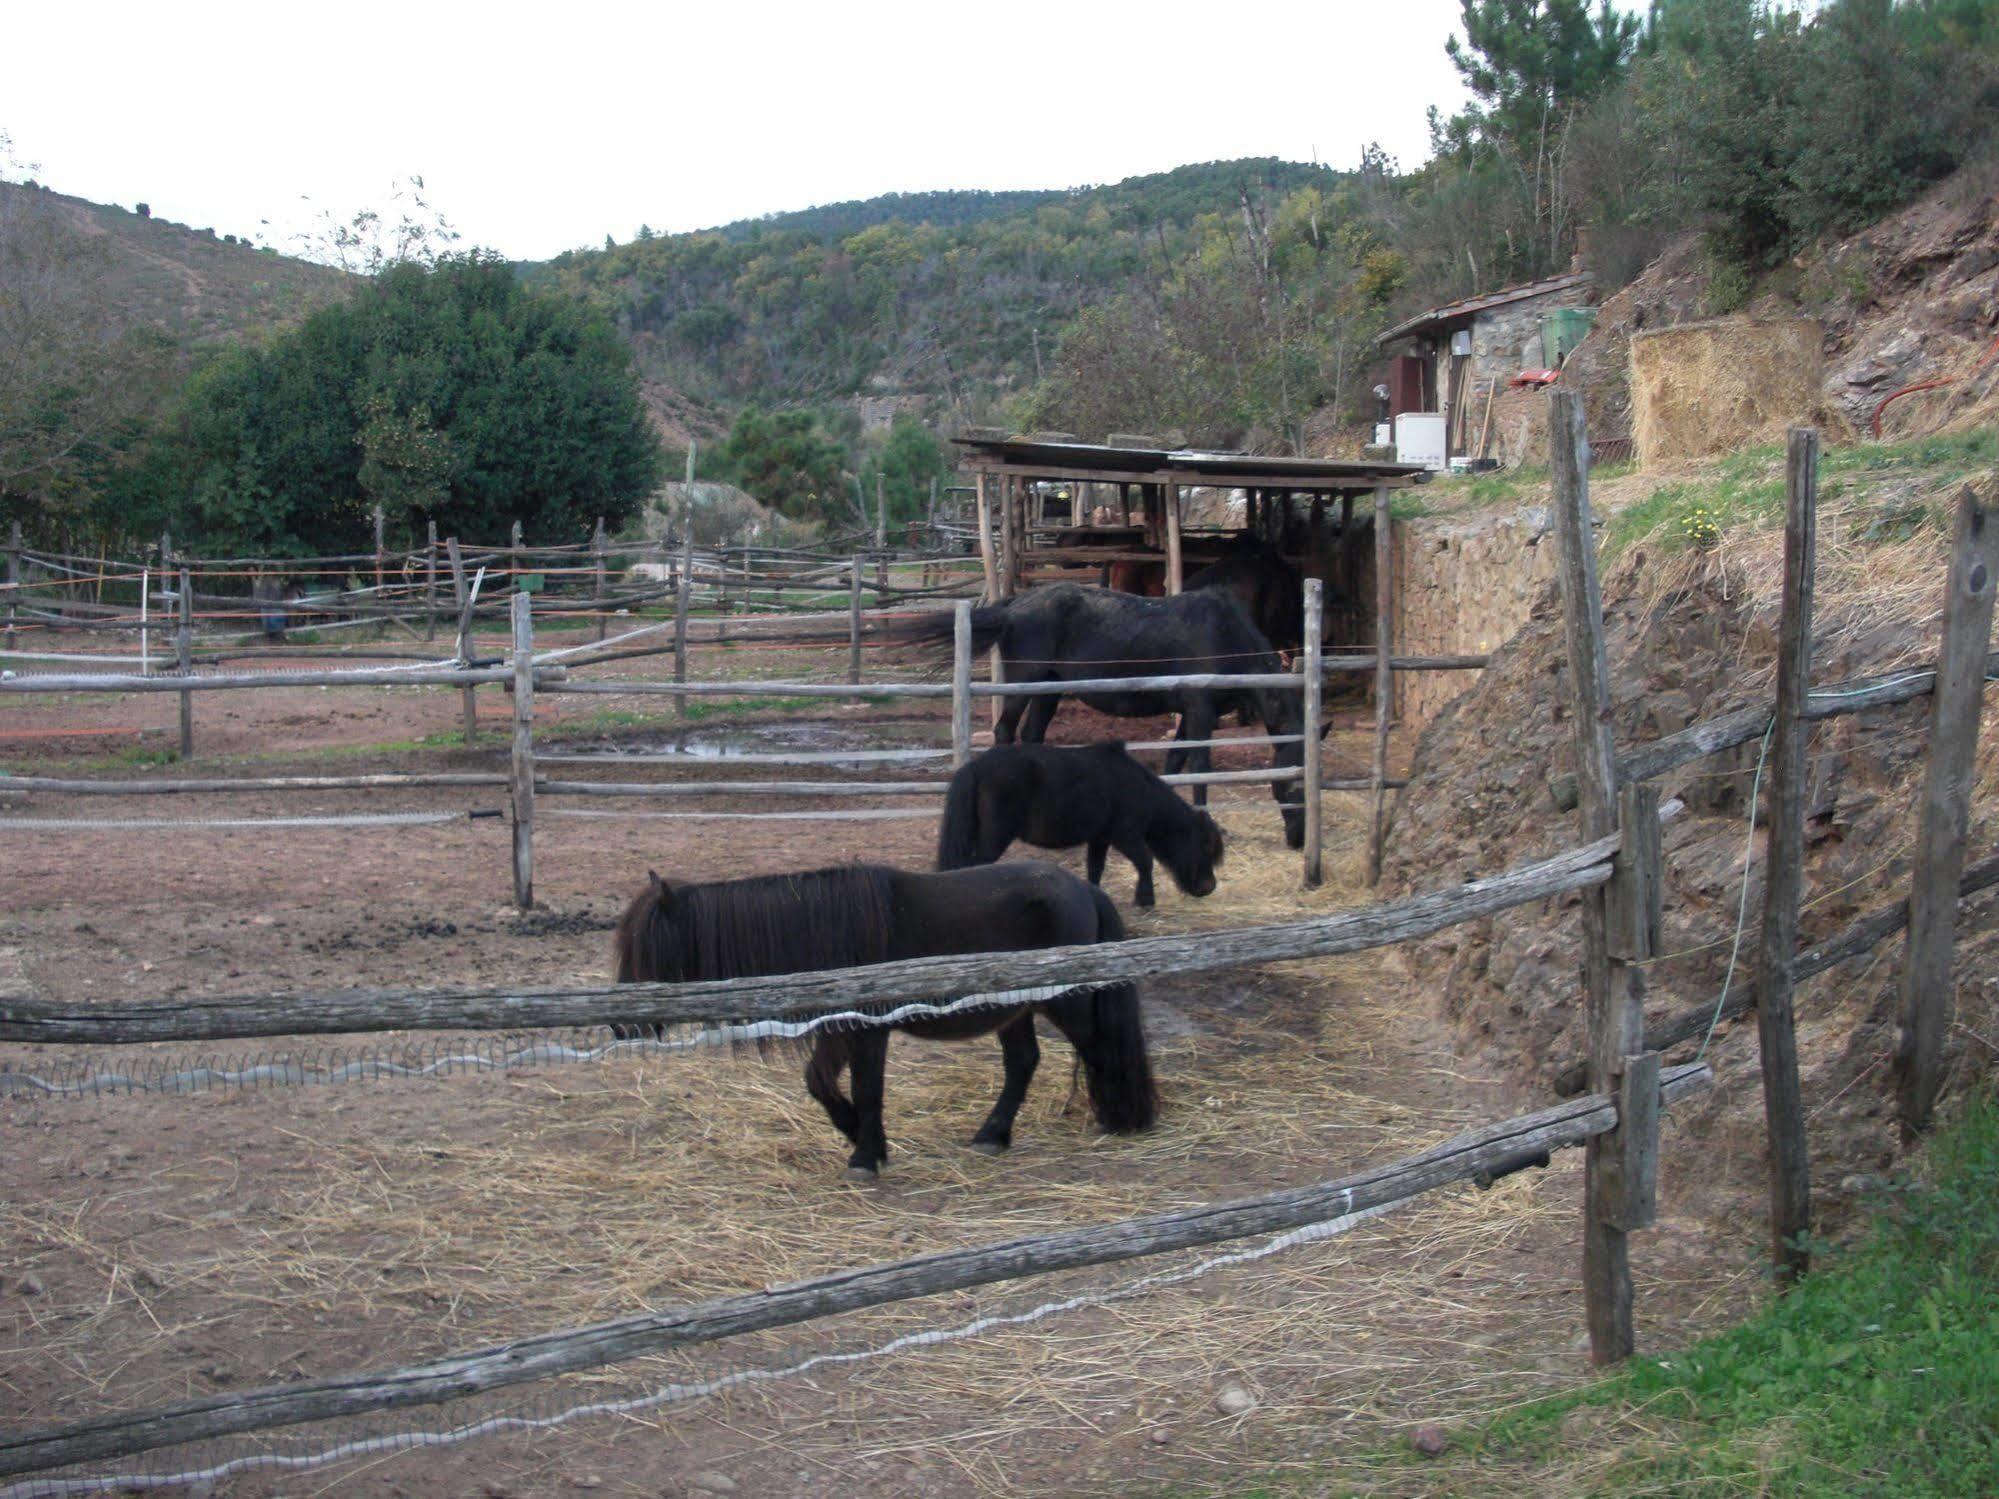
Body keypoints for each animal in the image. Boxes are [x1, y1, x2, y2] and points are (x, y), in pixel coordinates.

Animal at [607, 863, 1159, 1183]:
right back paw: (992, 1135)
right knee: (1023, 1063)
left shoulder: (866, 1030)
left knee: (1098, 1048)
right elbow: (819, 1082)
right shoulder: (838, 1028)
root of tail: (1083, 889)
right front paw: (862, 1137)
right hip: (1012, 1009)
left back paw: (1118, 1118)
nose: (622, 1027)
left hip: (1063, 1002)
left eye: (647, 949)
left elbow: (867, 1089)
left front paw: (865, 1155)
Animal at [903, 583, 1311, 851]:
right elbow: (1200, 768)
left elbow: (1175, 761)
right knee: (1005, 730)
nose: (1299, 839)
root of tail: (1014, 604)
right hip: (1025, 683)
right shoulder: (1200, 712)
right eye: (1294, 787)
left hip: (1049, 690)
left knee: (1033, 734)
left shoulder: (1188, 715)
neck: (1223, 634)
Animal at [931, 739, 1215, 903]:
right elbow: (1145, 862)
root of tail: (975, 766)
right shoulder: (1126, 837)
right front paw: (1146, 899)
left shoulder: (1100, 839)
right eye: (1204, 848)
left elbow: (1095, 869)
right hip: (994, 839)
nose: (1209, 887)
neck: (1138, 788)